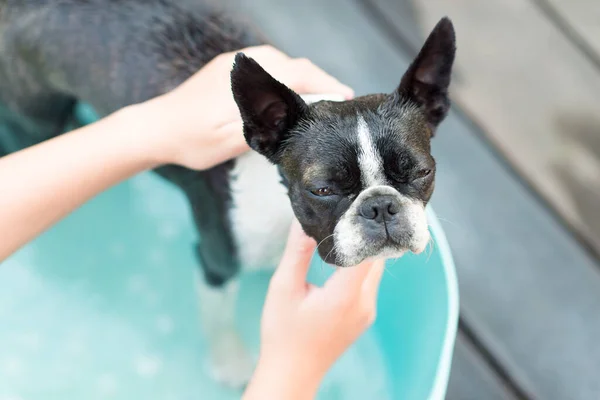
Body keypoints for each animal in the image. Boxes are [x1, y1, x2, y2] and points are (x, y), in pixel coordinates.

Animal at [0, 0, 454, 390]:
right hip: (36, 119)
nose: (380, 206)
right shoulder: (216, 260)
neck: (277, 195)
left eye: (423, 173)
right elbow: (218, 316)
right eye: (322, 190)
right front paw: (229, 361)